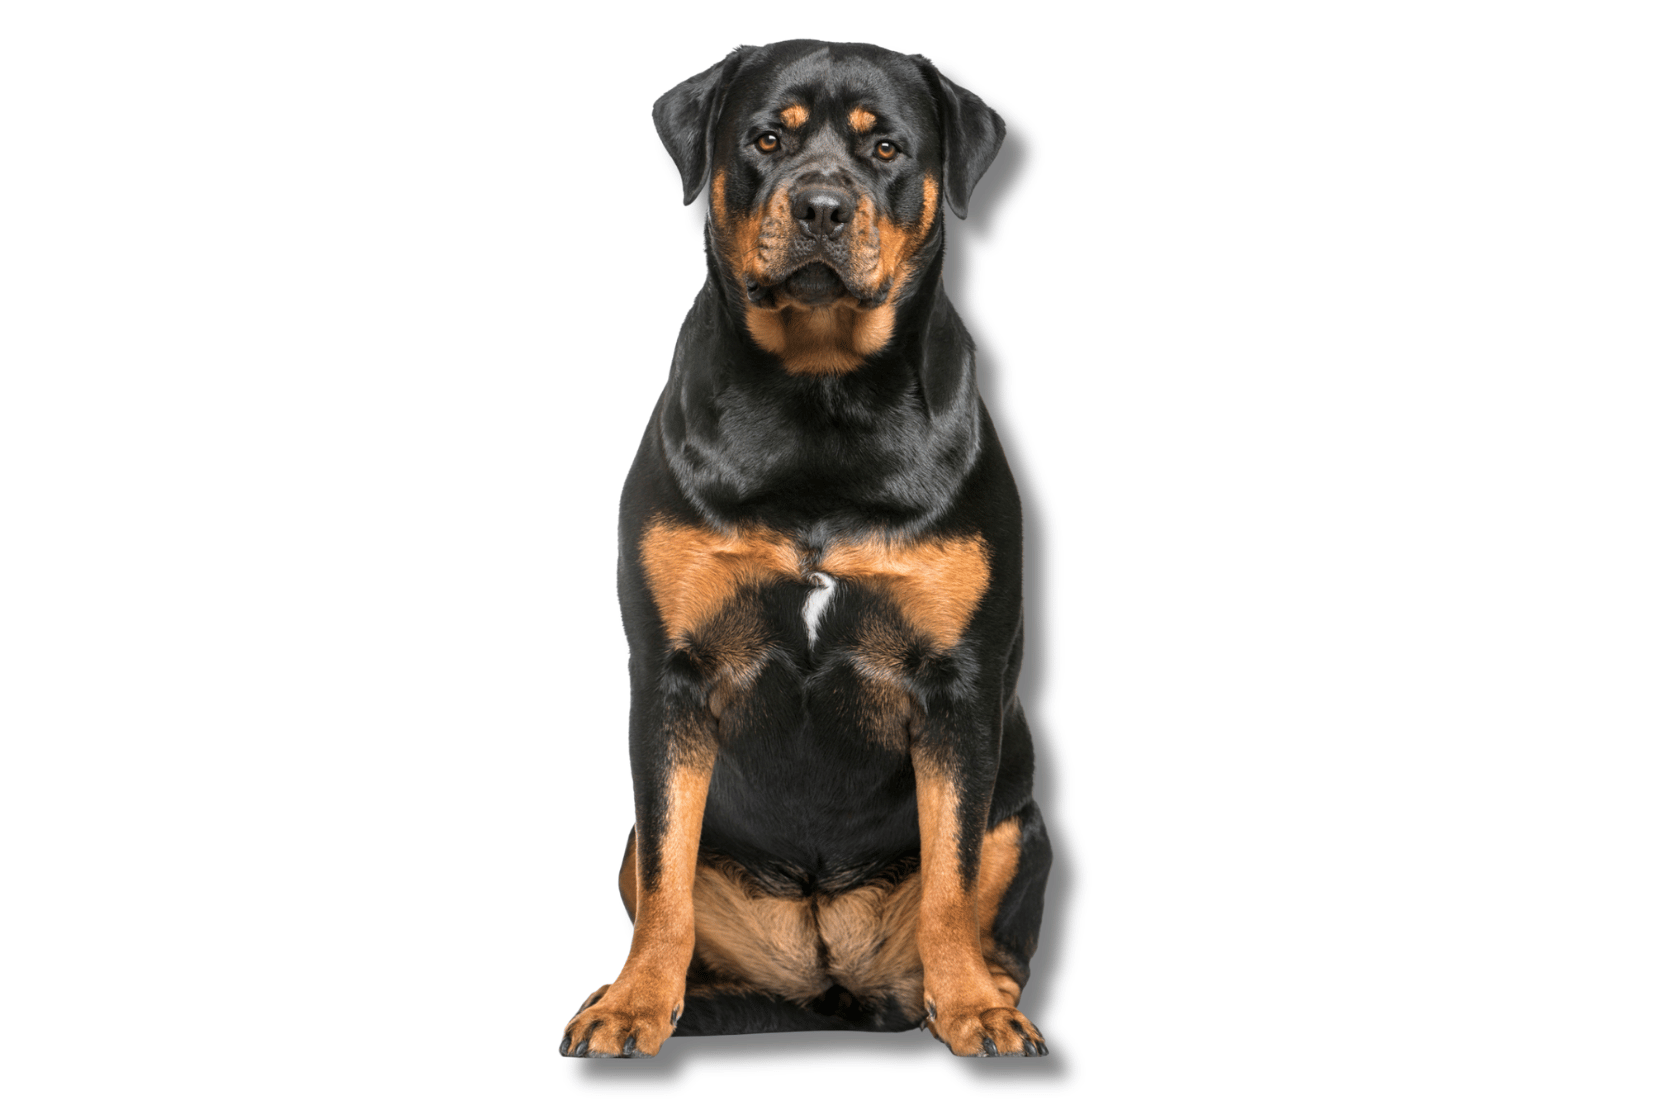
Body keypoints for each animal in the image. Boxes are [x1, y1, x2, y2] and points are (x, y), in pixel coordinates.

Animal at [560, 40, 1050, 1059]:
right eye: (766, 139)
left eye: (887, 148)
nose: (821, 204)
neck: (820, 393)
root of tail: (830, 984)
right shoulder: (670, 674)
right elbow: (666, 873)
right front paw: (632, 1006)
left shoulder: (960, 685)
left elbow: (951, 873)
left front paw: (973, 1010)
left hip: (1024, 824)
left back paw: (977, 993)